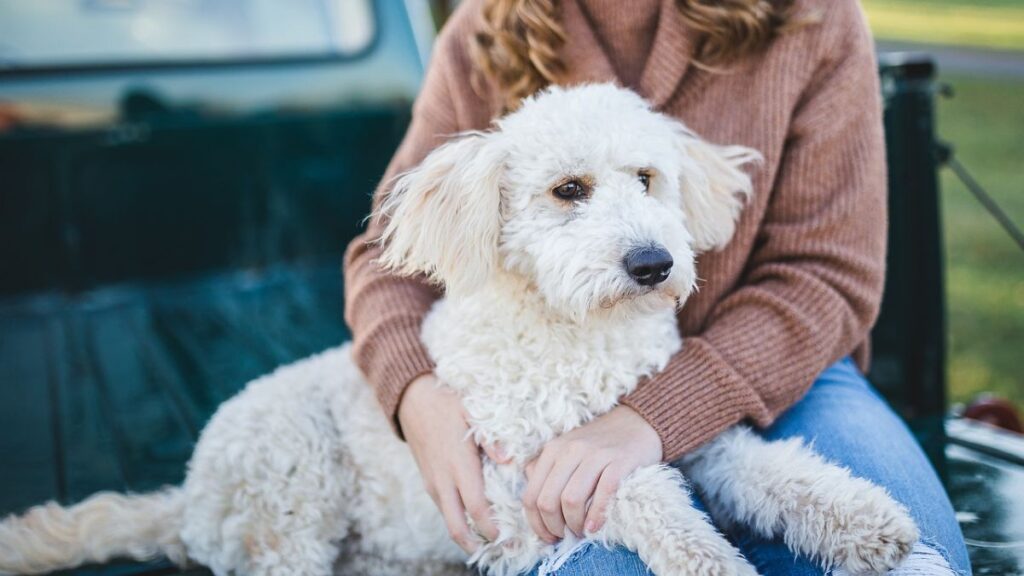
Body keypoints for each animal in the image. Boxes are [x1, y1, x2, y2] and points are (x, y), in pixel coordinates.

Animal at [0, 81, 913, 573]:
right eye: (568, 190)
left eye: (648, 177)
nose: (654, 263)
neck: (576, 329)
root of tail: (186, 498)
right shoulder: (535, 483)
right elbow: (648, 501)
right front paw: (713, 560)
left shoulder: (687, 435)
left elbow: (782, 473)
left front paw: (867, 521)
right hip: (290, 479)